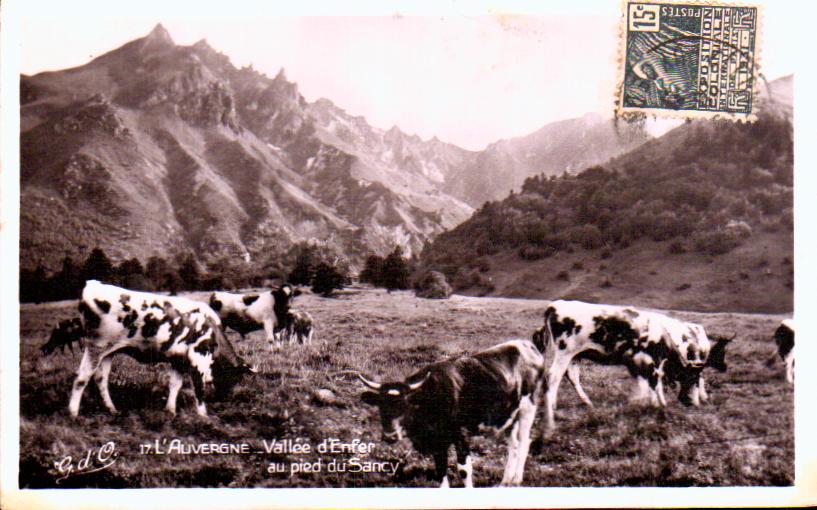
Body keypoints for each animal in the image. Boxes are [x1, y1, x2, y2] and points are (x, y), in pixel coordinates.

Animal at [40, 278, 252, 418]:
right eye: (235, 376)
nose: (225, 397)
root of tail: (94, 285)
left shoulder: (178, 360)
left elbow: (175, 384)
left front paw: (170, 410)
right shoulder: (198, 358)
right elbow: (199, 388)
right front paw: (203, 416)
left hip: (109, 351)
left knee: (101, 379)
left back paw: (112, 409)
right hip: (95, 347)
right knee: (82, 378)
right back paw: (73, 413)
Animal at [356, 338, 540, 486]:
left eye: (406, 405)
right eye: (381, 405)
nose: (390, 436)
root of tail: (527, 345)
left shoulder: (461, 435)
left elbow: (464, 470)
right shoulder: (437, 443)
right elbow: (441, 471)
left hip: (528, 410)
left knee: (524, 443)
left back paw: (516, 479)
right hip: (507, 416)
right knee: (513, 444)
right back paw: (506, 481)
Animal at [532, 300, 728, 432]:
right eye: (692, 377)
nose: (692, 403)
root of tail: (555, 305)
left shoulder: (638, 362)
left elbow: (646, 383)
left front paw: (642, 402)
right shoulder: (653, 360)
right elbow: (655, 382)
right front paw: (660, 404)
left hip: (574, 356)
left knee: (571, 376)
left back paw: (584, 402)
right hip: (564, 352)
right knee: (553, 376)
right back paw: (551, 410)